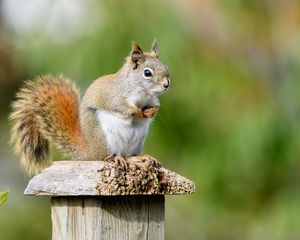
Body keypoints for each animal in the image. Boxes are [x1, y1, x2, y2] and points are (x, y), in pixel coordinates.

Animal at [9, 39, 170, 174]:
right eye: (147, 73)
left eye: (166, 67)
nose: (166, 84)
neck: (143, 93)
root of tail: (90, 153)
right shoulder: (114, 97)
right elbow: (121, 107)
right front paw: (137, 112)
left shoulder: (152, 99)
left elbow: (156, 105)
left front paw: (152, 112)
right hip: (103, 136)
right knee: (106, 156)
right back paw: (117, 158)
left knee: (128, 155)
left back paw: (141, 157)